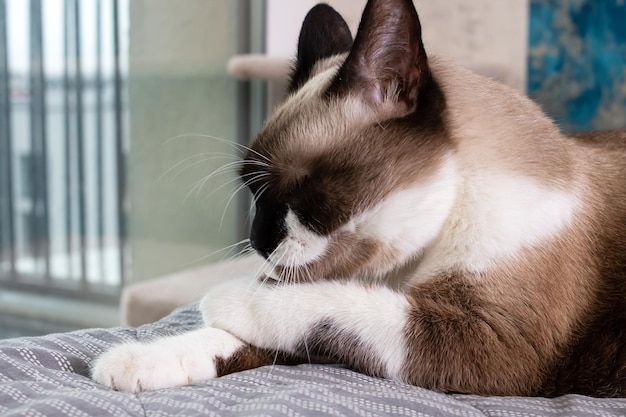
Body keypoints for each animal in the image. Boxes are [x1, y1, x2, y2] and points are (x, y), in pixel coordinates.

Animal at [91, 0, 624, 396]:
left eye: (298, 192)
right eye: (251, 193)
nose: (257, 243)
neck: (407, 268)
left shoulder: (488, 339)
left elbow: (318, 305)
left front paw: (231, 293)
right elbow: (239, 336)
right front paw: (131, 363)